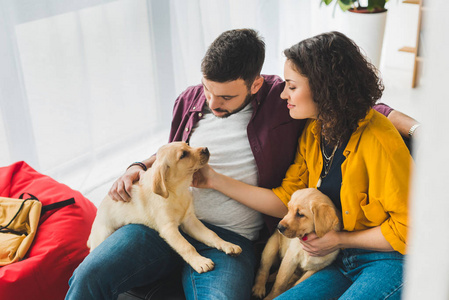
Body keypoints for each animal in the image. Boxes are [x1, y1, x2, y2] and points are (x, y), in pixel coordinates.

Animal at [87, 142, 242, 274]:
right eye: (183, 155)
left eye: (188, 144)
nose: (206, 149)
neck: (177, 191)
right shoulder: (169, 229)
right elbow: (186, 246)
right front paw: (199, 262)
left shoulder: (190, 220)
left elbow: (211, 234)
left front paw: (227, 245)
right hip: (103, 234)